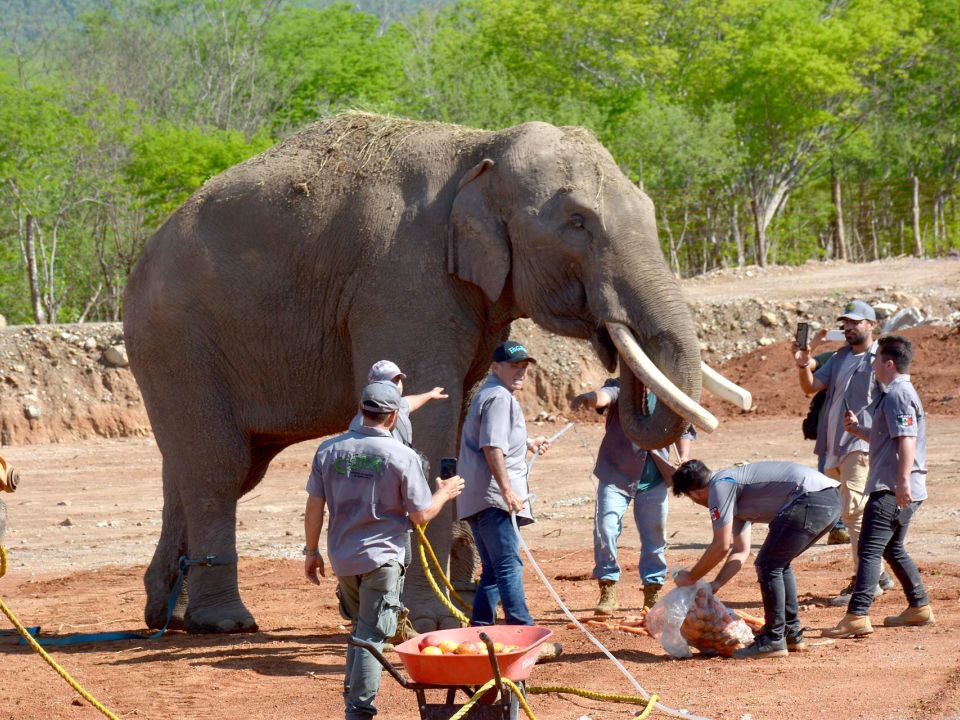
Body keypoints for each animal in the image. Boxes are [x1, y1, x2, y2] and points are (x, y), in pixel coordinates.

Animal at [125, 109, 744, 632]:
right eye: (578, 222)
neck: (480, 146)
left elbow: (464, 411)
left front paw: (454, 604)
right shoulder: (403, 282)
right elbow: (428, 423)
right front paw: (438, 621)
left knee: (196, 466)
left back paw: (168, 617)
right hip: (176, 340)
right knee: (218, 468)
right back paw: (224, 624)